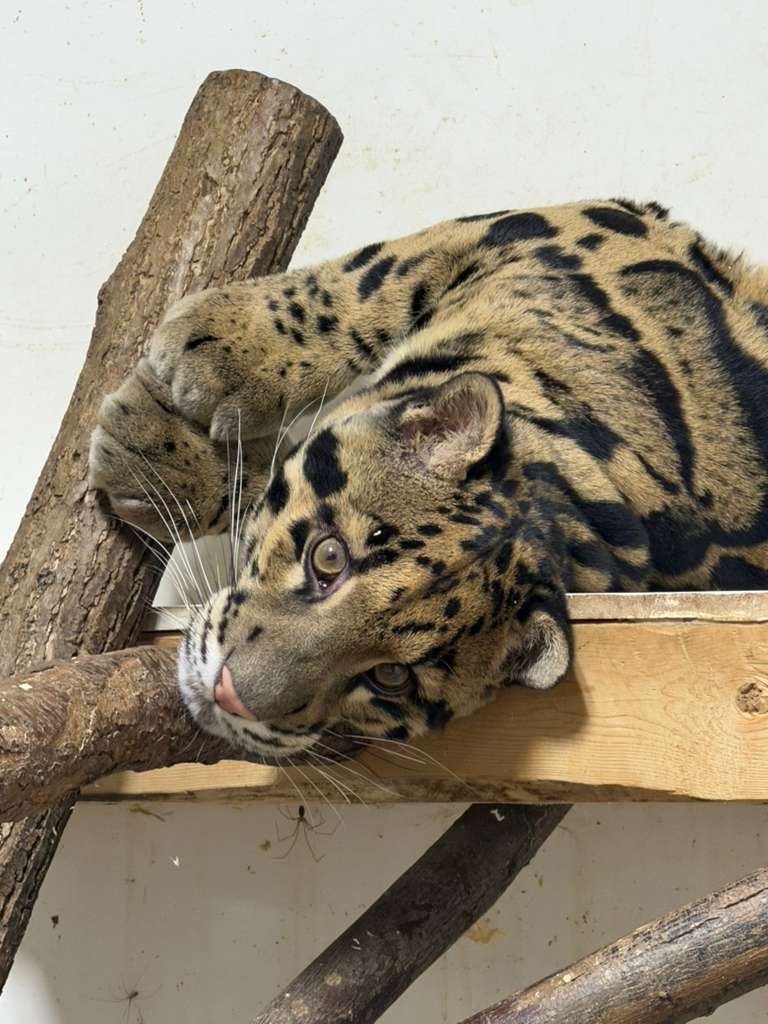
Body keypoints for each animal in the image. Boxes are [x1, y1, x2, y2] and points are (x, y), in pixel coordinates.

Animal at [89, 199, 768, 760]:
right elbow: (376, 273)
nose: (230, 695)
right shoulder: (562, 224)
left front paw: (157, 455)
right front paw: (219, 352)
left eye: (390, 678)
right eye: (328, 557)